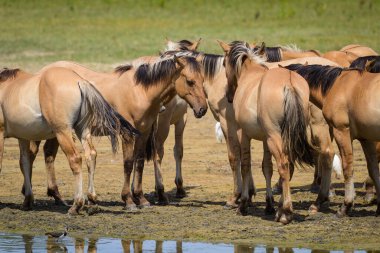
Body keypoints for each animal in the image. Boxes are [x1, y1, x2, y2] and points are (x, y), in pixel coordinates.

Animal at [0, 67, 138, 213]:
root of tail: (80, 82)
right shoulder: (23, 137)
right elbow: (24, 163)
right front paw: (27, 201)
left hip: (63, 132)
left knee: (75, 158)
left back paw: (76, 204)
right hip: (82, 131)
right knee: (91, 155)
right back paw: (92, 201)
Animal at [218, 40, 314, 224]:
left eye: (225, 64)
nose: (228, 96)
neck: (250, 74)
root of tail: (289, 83)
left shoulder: (244, 134)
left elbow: (245, 166)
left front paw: (243, 204)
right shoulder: (264, 139)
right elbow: (267, 168)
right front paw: (269, 205)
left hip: (275, 138)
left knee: (284, 166)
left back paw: (286, 212)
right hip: (282, 137)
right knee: (287, 167)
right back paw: (280, 209)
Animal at [286, 62, 380, 215]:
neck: (336, 85)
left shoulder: (341, 131)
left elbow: (347, 166)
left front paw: (346, 205)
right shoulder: (366, 138)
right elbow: (373, 169)